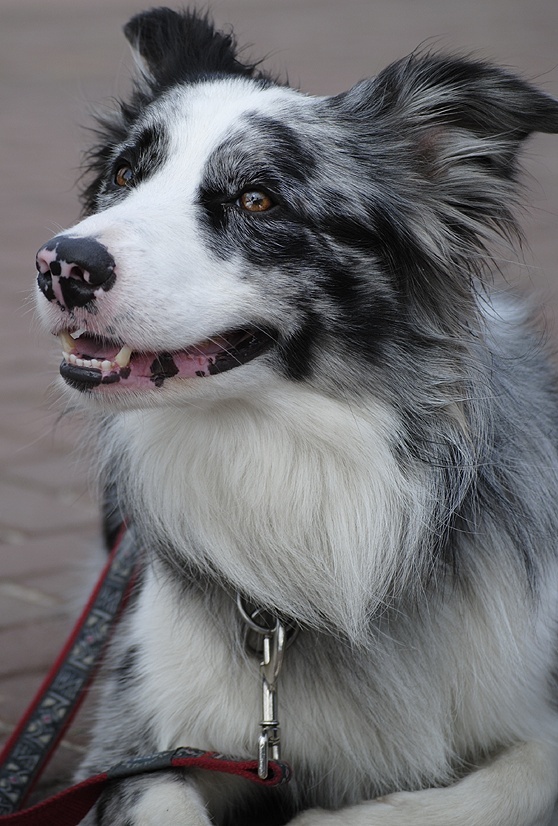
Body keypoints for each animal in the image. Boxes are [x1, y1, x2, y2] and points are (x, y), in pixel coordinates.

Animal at [34, 8, 558, 824]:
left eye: (258, 200)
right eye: (124, 176)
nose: (62, 264)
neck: (283, 450)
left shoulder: (527, 700)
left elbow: (505, 782)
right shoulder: (132, 744)